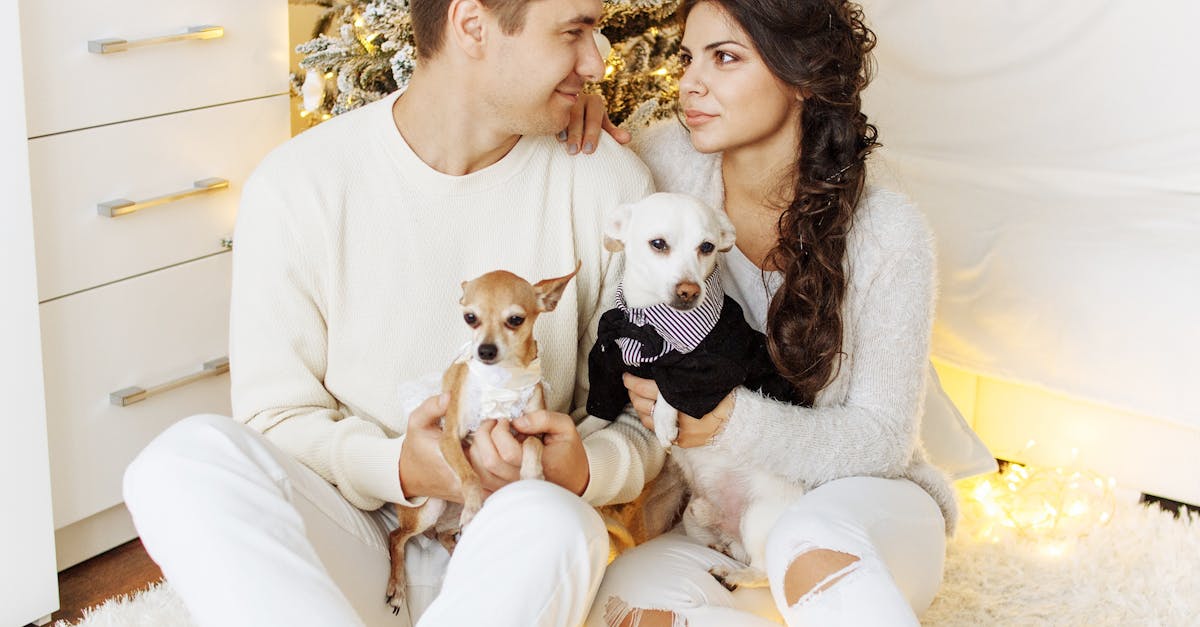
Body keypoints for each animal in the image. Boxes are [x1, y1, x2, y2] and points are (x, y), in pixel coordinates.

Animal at [588, 190, 806, 586]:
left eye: (707, 247)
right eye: (658, 244)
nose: (689, 290)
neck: (648, 324)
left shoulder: (712, 369)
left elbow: (671, 386)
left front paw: (663, 421)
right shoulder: (608, 362)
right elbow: (596, 414)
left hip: (758, 517)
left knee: (763, 571)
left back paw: (733, 575)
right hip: (694, 516)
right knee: (727, 543)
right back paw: (723, 550)